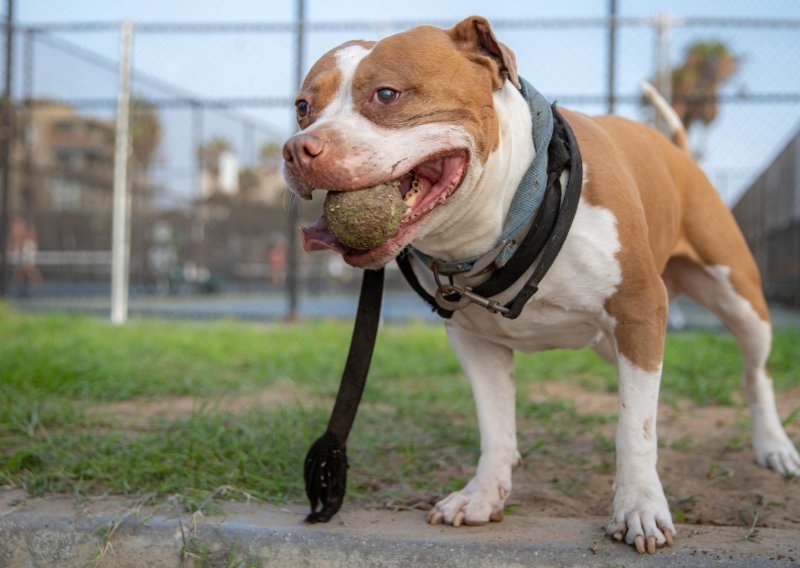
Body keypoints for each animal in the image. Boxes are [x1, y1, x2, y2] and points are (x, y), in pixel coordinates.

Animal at [282, 16, 800, 556]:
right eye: (302, 107)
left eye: (386, 94)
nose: (298, 149)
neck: (510, 216)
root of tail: (675, 148)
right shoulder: (475, 341)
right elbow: (496, 427)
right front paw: (484, 495)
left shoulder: (640, 309)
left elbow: (635, 429)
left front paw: (639, 506)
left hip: (740, 299)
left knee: (755, 374)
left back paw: (774, 447)